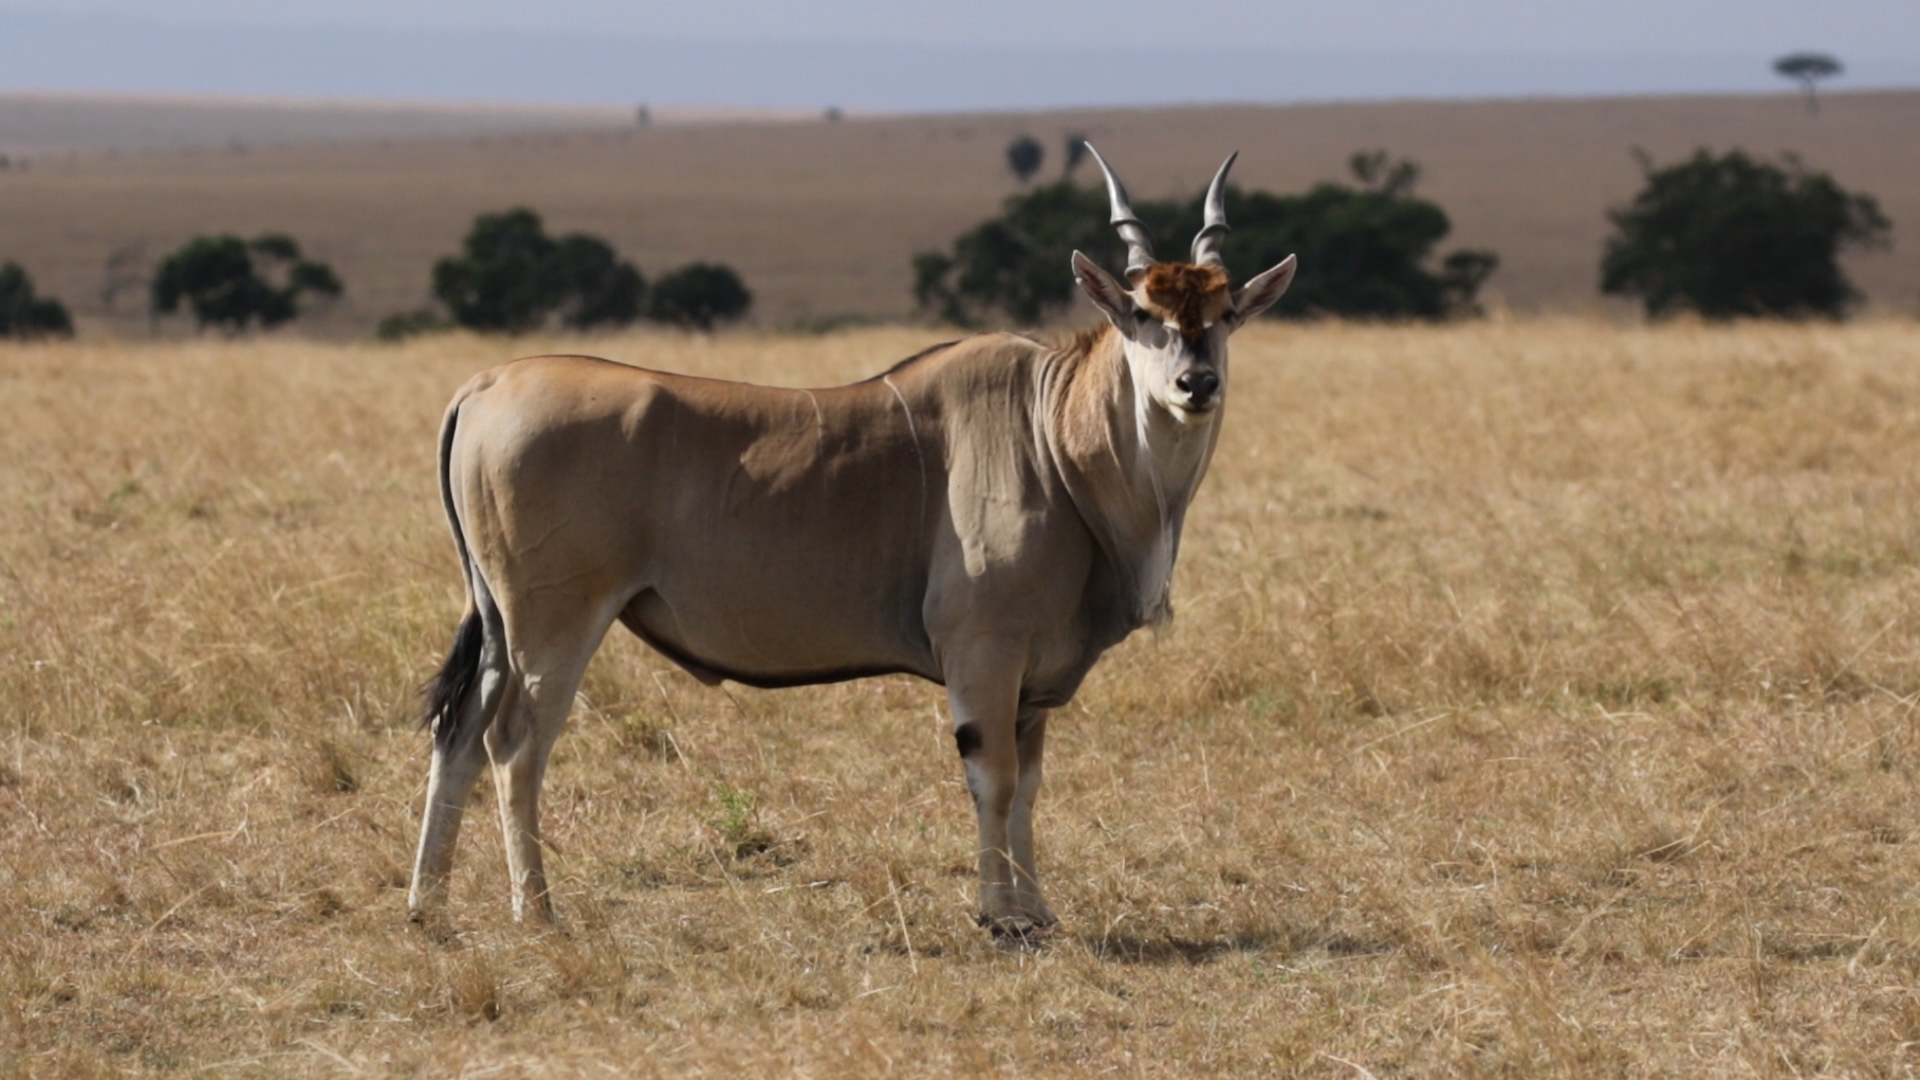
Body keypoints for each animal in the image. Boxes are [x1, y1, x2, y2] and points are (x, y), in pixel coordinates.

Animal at [410, 145, 1297, 933]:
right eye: (1143, 314)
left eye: (1223, 315)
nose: (1196, 384)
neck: (1053, 435)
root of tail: (483, 385)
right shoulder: (984, 650)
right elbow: (996, 780)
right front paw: (1002, 916)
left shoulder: (1032, 678)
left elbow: (1031, 786)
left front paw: (1038, 910)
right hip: (553, 622)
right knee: (514, 744)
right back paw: (538, 913)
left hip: (499, 626)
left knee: (459, 737)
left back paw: (429, 910)